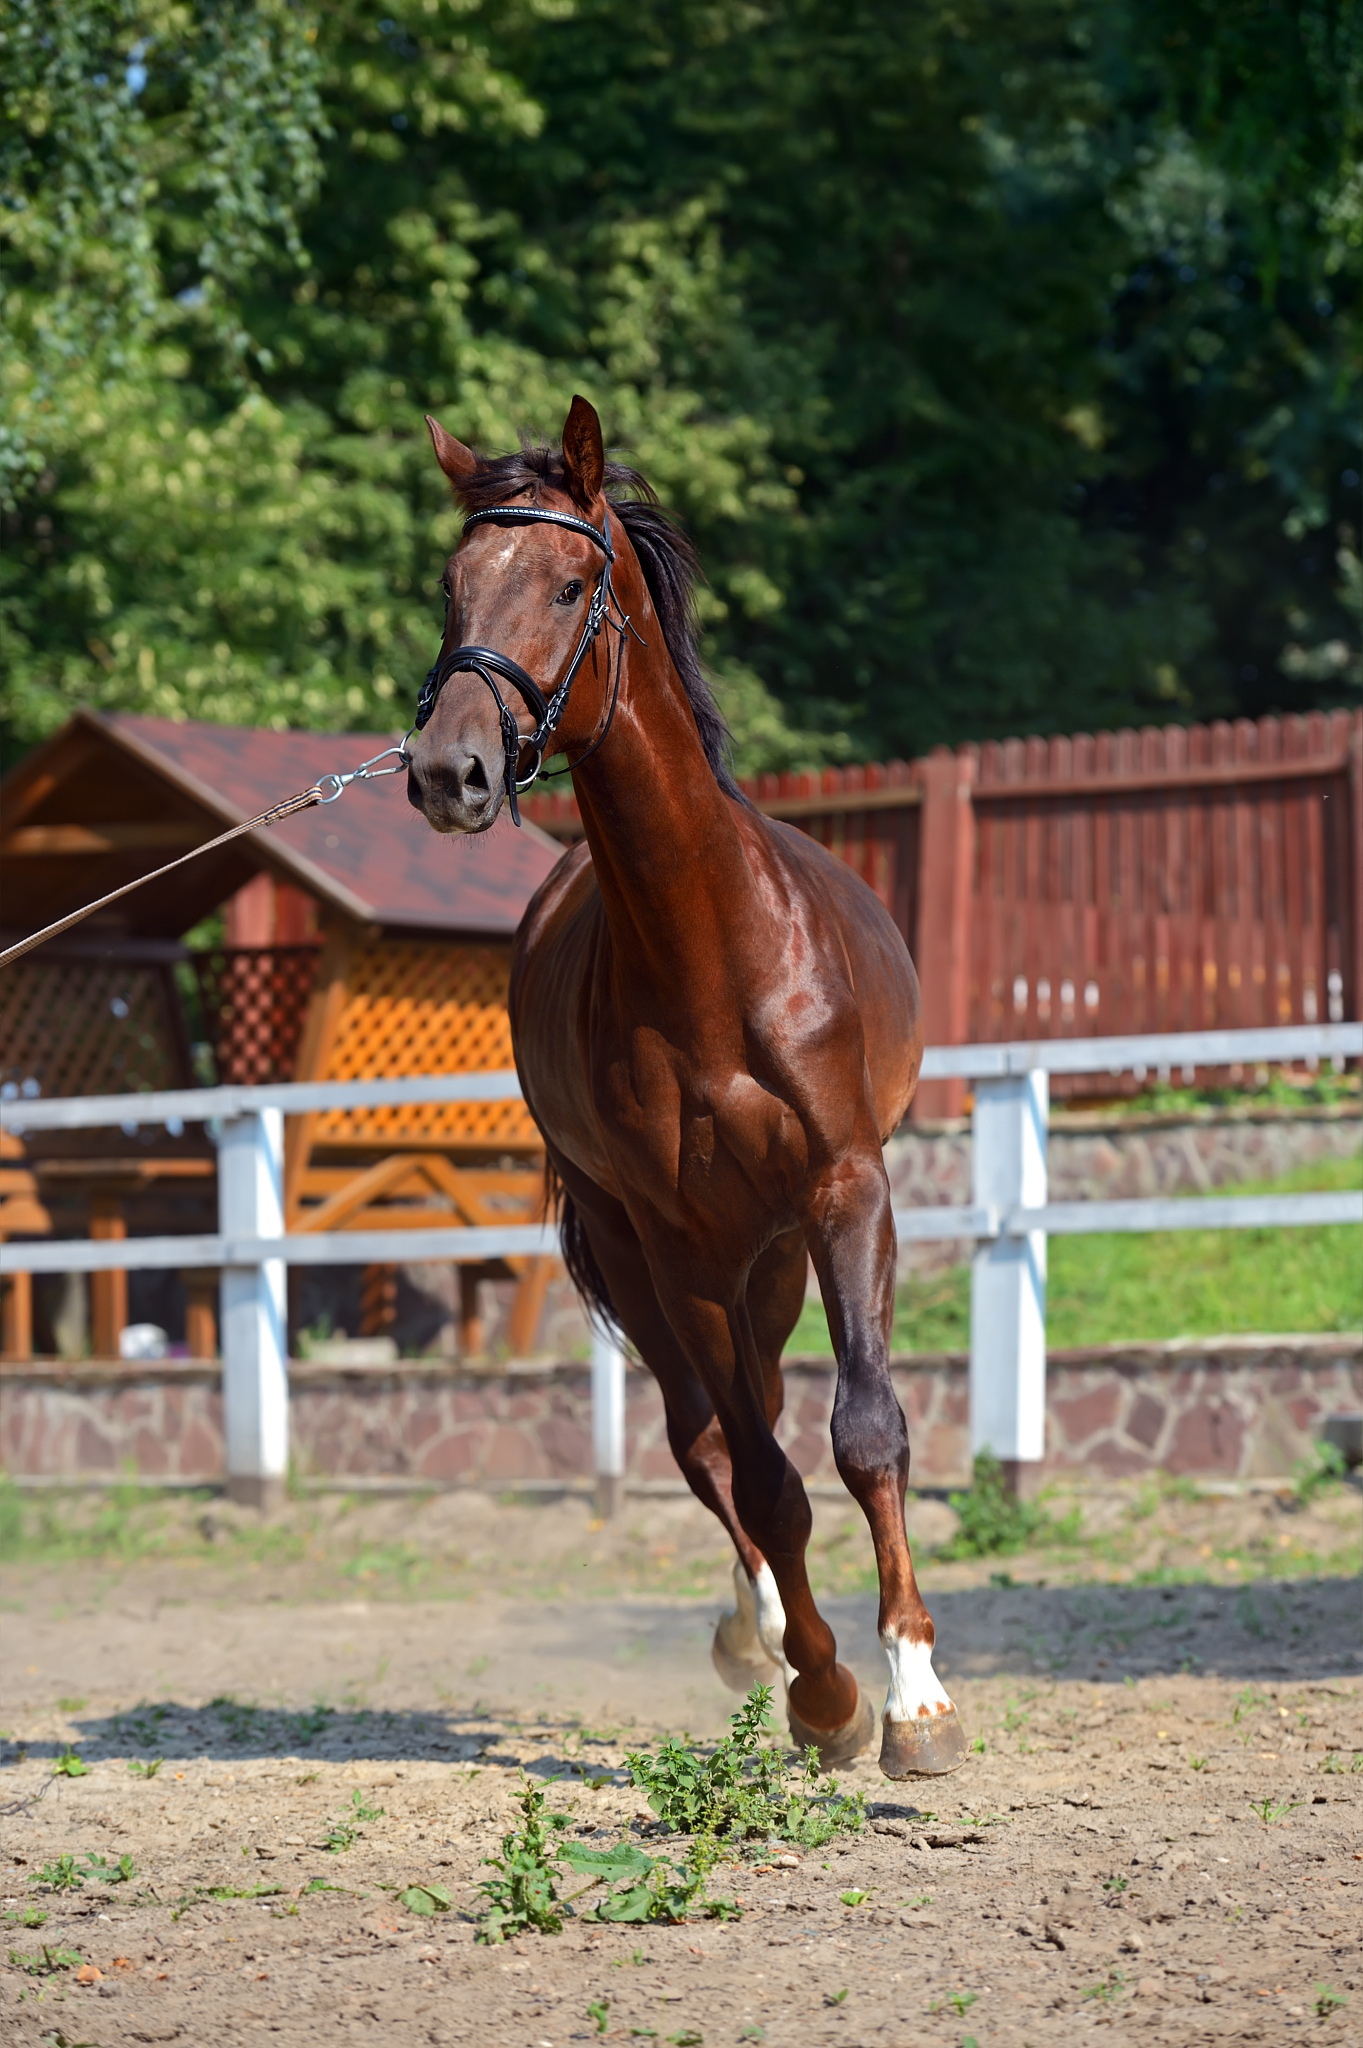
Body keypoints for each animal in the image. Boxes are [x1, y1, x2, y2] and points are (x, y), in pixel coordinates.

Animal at [405, 395, 966, 1777]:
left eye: (568, 583)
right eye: (450, 587)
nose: (448, 772)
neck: (712, 951)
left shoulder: (845, 1191)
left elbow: (865, 1428)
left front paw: (917, 1696)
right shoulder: (672, 1240)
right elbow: (758, 1470)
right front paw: (827, 1691)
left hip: (770, 1255)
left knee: (760, 1409)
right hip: (662, 1258)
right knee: (709, 1435)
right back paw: (761, 1636)